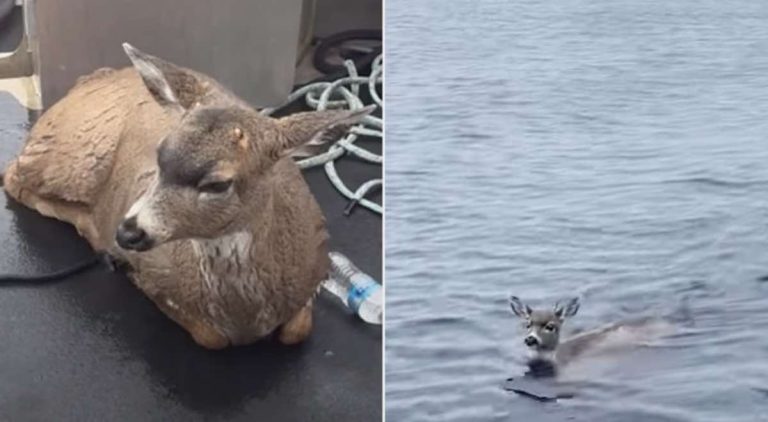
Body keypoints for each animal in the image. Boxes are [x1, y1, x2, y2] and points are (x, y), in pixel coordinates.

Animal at [2, 43, 373, 349]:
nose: (127, 232)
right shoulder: (158, 280)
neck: (245, 317)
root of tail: (90, 80)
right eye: (159, 154)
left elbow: (297, 331)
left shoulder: (315, 267)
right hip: (67, 156)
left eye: (217, 184)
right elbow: (211, 338)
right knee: (12, 175)